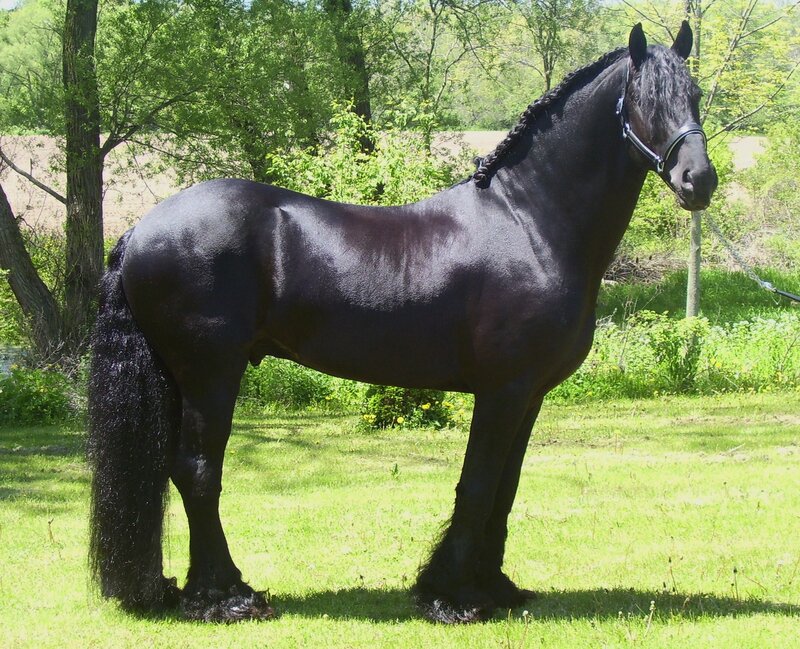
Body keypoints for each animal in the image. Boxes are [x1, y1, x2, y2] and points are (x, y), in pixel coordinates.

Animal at [87, 22, 717, 624]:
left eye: (695, 94)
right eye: (648, 97)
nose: (699, 180)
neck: (530, 221)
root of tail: (139, 230)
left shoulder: (530, 394)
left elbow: (506, 487)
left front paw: (494, 586)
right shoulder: (502, 390)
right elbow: (479, 483)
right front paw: (450, 597)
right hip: (210, 375)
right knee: (197, 472)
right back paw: (225, 597)